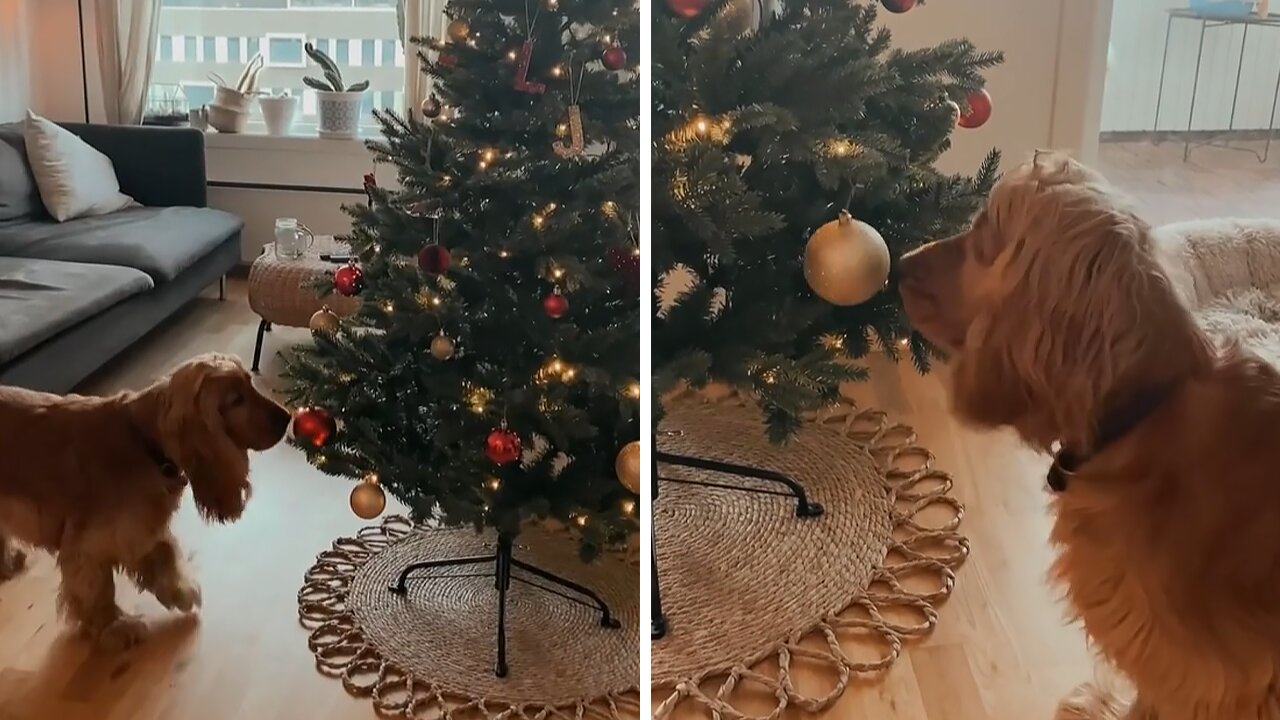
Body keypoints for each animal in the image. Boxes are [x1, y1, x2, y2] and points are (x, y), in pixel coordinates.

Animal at [0, 351, 289, 645]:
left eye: (250, 383)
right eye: (236, 400)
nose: (287, 418)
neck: (144, 440)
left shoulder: (138, 529)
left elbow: (164, 553)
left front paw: (180, 591)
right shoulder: (89, 545)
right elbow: (100, 589)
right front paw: (115, 627)